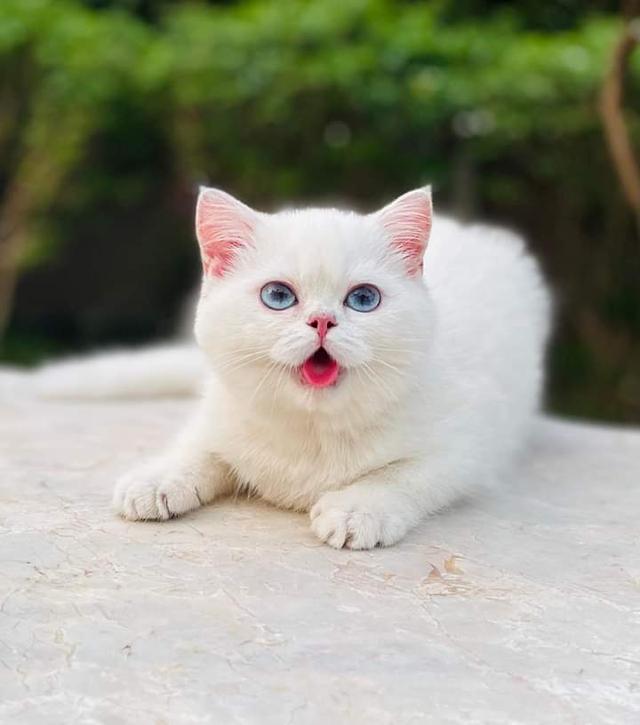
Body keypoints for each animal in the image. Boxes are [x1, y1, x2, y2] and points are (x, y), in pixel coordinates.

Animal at [111, 187, 552, 548]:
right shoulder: (223, 411)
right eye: (277, 296)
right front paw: (159, 478)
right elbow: (199, 446)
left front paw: (358, 509)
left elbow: (402, 473)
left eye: (363, 299)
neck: (313, 427)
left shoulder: (466, 448)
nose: (322, 320)